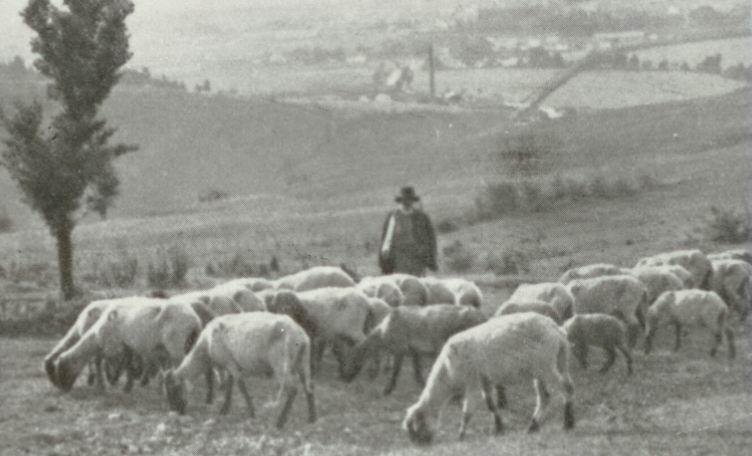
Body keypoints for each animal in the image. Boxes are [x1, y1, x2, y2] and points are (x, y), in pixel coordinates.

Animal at [55, 300, 203, 392]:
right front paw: (129, 385)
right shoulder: (129, 346)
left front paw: (118, 384)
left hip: (175, 345)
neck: (97, 335)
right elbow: (128, 364)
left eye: (63, 369)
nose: (63, 389)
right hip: (190, 342)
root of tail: (195, 320)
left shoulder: (117, 345)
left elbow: (122, 364)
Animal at [164, 314, 318, 428]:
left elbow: (240, 386)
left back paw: (280, 422)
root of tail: (301, 337)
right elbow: (230, 386)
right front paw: (225, 409)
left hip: (280, 364)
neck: (205, 348)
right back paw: (312, 418)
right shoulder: (230, 365)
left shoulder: (230, 362)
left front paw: (251, 413)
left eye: (173, 389)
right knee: (309, 387)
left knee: (293, 389)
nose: (176, 412)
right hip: (303, 362)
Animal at [402, 312, 572, 444]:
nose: (422, 446)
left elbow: (467, 411)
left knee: (566, 388)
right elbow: (491, 405)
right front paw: (499, 428)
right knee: (545, 397)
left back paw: (568, 423)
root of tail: (556, 329)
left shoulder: (473, 382)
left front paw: (461, 436)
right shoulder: (485, 380)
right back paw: (533, 427)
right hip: (549, 365)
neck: (447, 374)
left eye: (415, 430)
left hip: (546, 365)